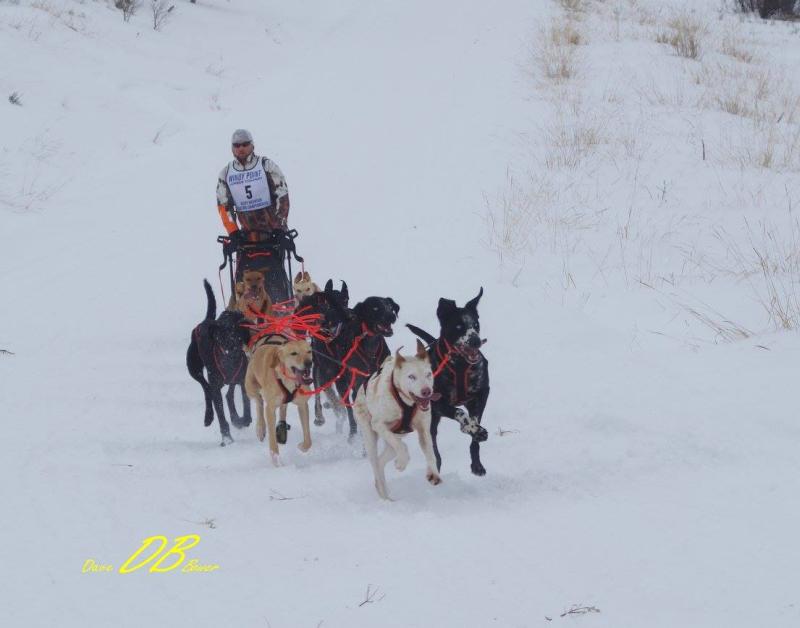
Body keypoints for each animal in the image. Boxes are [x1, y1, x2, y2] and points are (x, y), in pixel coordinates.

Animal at [187, 280, 252, 445]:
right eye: (221, 335)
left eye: (236, 332)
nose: (231, 345)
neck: (229, 361)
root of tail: (205, 321)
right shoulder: (216, 387)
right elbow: (221, 414)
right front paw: (226, 437)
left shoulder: (243, 379)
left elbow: (246, 406)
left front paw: (242, 420)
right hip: (193, 367)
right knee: (206, 388)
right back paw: (209, 416)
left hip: (232, 380)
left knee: (229, 394)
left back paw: (236, 418)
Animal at [245, 338, 314, 466]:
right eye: (294, 353)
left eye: (309, 351)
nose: (309, 363)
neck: (287, 379)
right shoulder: (270, 409)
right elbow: (272, 440)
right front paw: (276, 460)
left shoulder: (302, 405)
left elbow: (308, 440)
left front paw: (302, 446)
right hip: (251, 388)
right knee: (259, 403)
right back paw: (260, 428)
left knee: (282, 408)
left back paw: (281, 427)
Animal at [354, 340, 441, 500]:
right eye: (411, 376)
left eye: (428, 374)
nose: (427, 391)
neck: (406, 402)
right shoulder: (379, 425)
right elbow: (401, 447)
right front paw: (402, 463)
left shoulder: (424, 430)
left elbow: (430, 452)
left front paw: (433, 473)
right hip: (370, 437)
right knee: (377, 462)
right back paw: (384, 497)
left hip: (393, 441)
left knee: (382, 460)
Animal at [407, 288, 490, 476]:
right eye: (458, 326)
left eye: (476, 325)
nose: (476, 341)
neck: (460, 366)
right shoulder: (437, 403)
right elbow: (460, 412)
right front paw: (469, 427)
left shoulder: (482, 394)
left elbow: (474, 420)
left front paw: (474, 433)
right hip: (430, 420)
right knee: (433, 445)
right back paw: (435, 465)